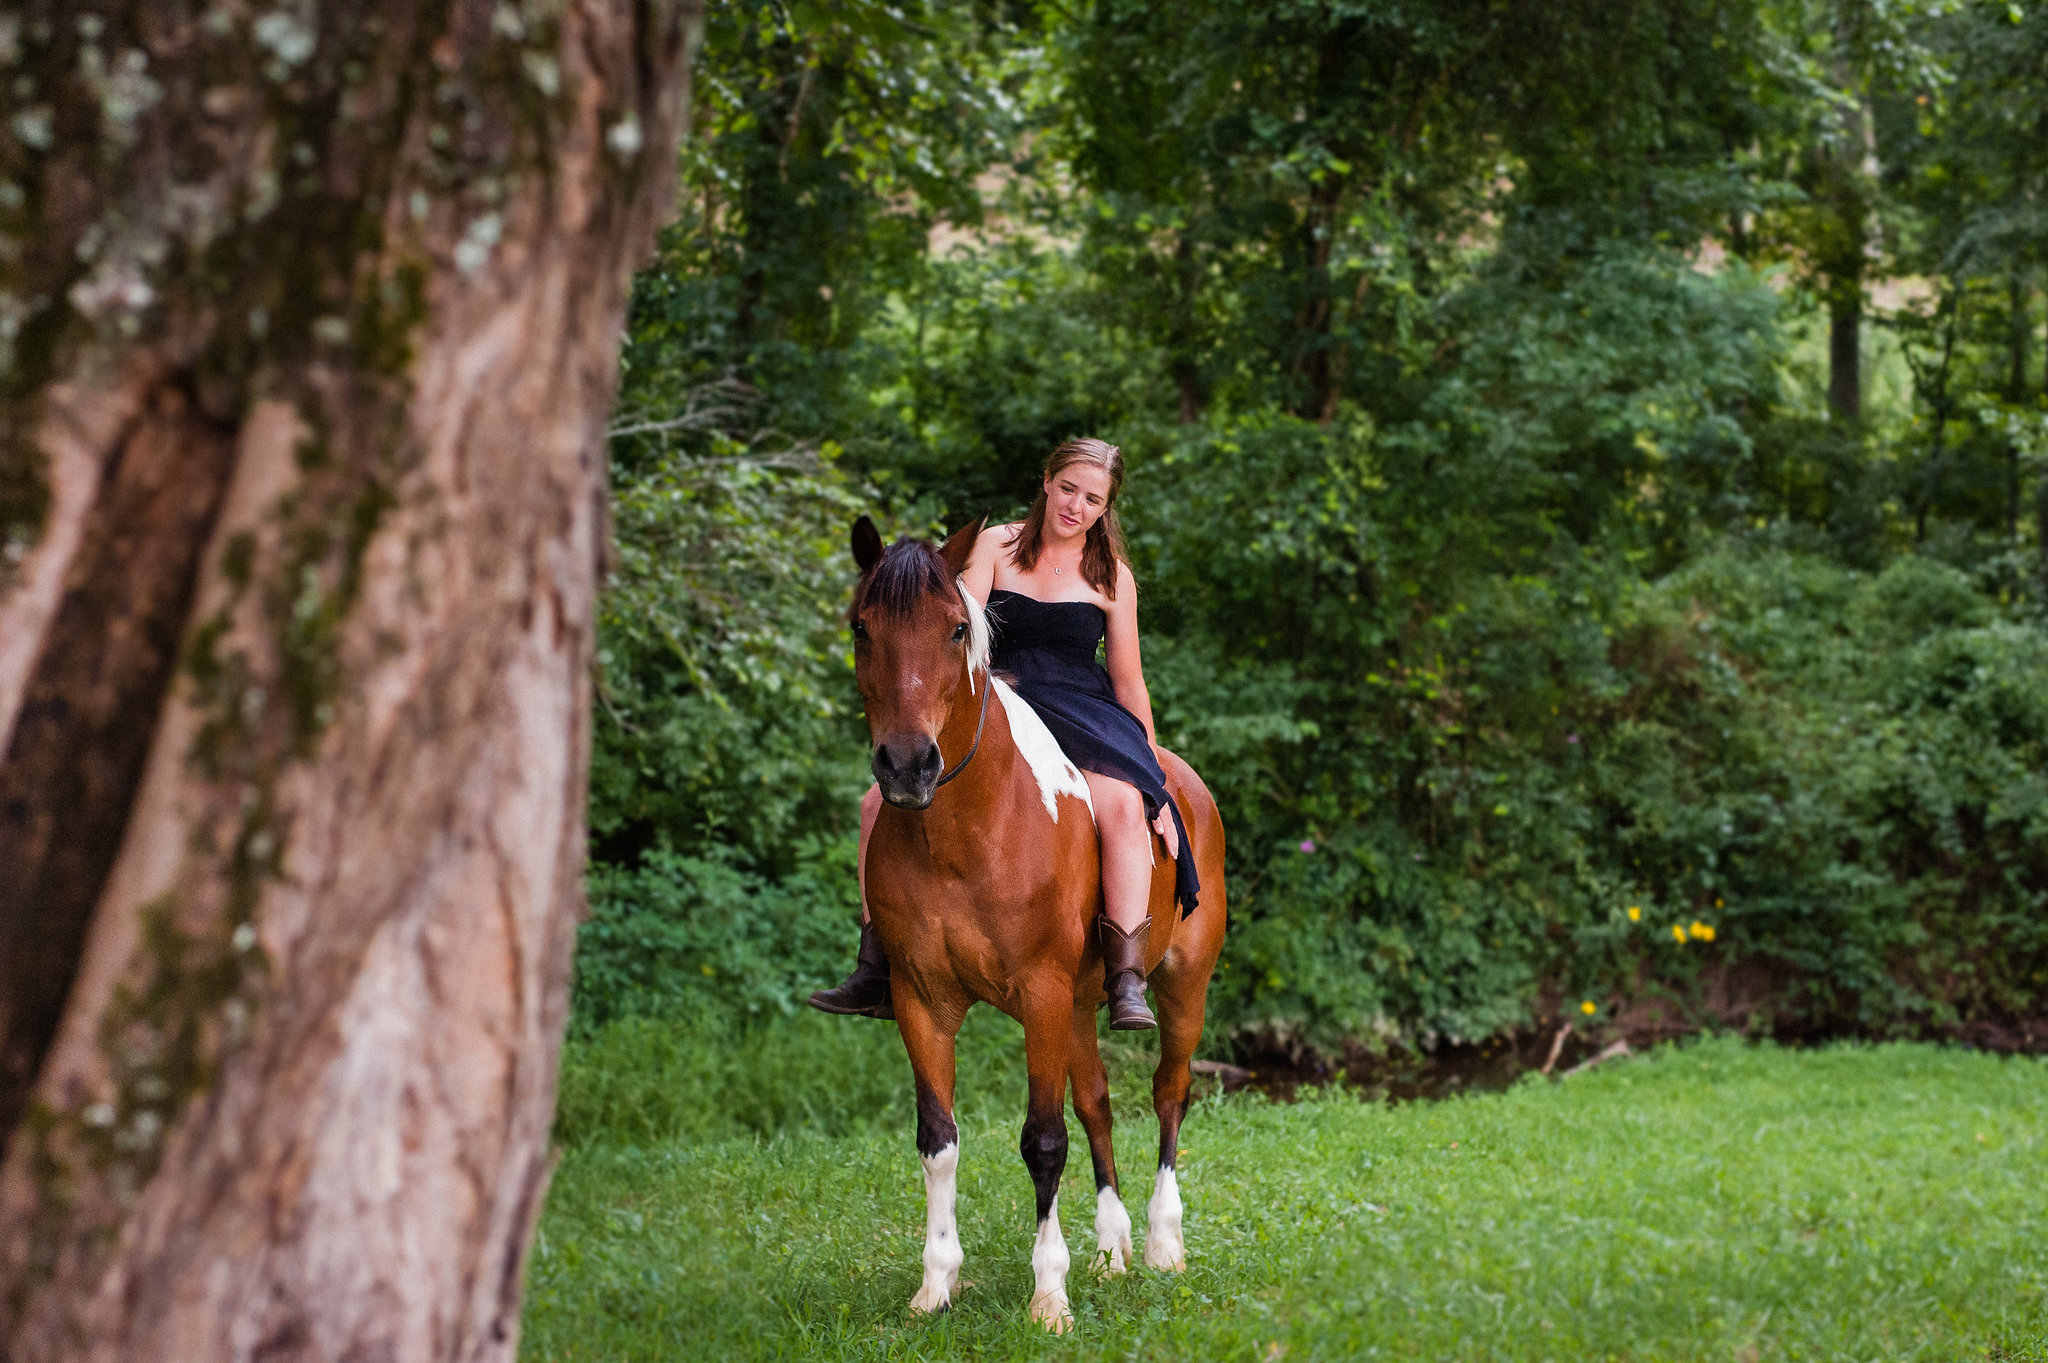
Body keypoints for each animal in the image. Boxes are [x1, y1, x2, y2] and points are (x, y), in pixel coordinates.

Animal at [851, 509, 1228, 1326]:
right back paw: (1113, 1249)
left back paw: (1163, 1241)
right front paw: (936, 1281)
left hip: (1182, 985)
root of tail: (1178, 773)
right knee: (1099, 1104)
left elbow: (1043, 1140)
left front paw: (1049, 1293)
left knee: (1168, 1092)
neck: (963, 828)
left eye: (956, 629)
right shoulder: (921, 1000)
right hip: (1082, 1004)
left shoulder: (1042, 992)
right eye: (862, 627)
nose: (908, 766)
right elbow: (939, 1139)